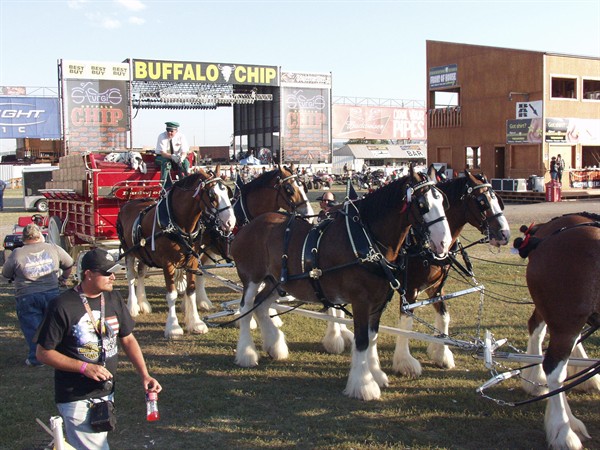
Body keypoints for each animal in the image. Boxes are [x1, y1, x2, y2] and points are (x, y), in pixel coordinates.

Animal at [230, 168, 450, 400]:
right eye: (422, 204)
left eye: (442, 201)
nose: (443, 243)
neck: (367, 241)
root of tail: (247, 227)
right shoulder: (361, 301)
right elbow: (362, 340)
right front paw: (363, 385)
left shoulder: (379, 302)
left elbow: (372, 337)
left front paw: (375, 374)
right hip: (252, 278)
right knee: (246, 309)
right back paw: (247, 354)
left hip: (276, 283)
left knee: (261, 307)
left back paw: (275, 346)